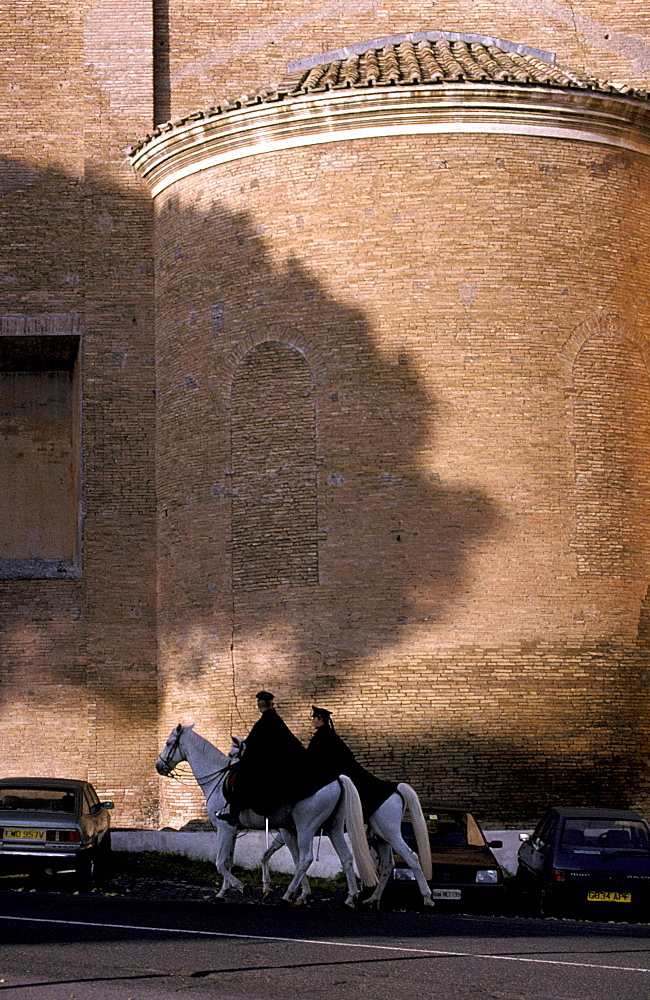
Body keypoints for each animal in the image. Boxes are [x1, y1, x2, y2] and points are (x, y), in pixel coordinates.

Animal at [156, 728, 374, 908]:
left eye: (168, 743)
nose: (159, 766)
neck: (217, 781)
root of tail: (336, 779)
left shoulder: (224, 830)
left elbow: (219, 863)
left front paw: (243, 888)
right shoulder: (232, 831)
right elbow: (228, 862)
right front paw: (222, 893)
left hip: (306, 827)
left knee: (305, 859)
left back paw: (287, 895)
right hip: (333, 828)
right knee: (346, 858)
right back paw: (350, 898)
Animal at [260, 784, 436, 912]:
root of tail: (397, 789)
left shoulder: (288, 833)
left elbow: (297, 861)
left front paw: (298, 895)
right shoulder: (285, 834)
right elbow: (266, 855)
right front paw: (268, 890)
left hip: (390, 833)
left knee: (411, 857)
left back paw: (427, 898)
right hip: (382, 836)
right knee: (388, 865)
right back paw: (372, 900)